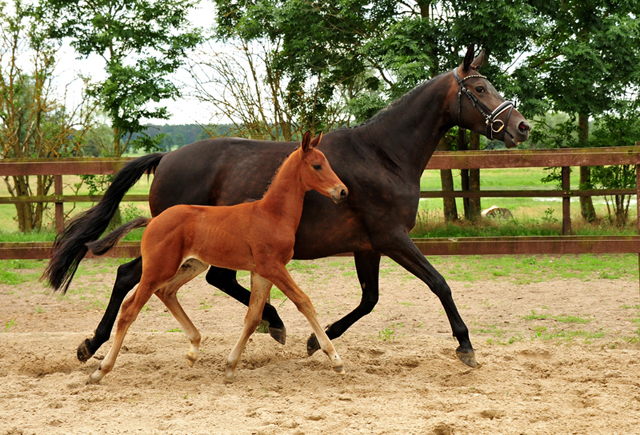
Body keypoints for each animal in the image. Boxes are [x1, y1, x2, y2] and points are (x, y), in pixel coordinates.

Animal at [85, 131, 348, 384]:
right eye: (317, 165)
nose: (342, 191)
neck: (271, 214)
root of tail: (153, 220)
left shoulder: (261, 273)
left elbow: (253, 318)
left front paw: (230, 367)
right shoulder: (273, 267)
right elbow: (304, 302)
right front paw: (335, 360)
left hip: (193, 265)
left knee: (166, 292)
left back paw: (193, 349)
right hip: (158, 268)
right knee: (130, 309)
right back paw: (100, 371)